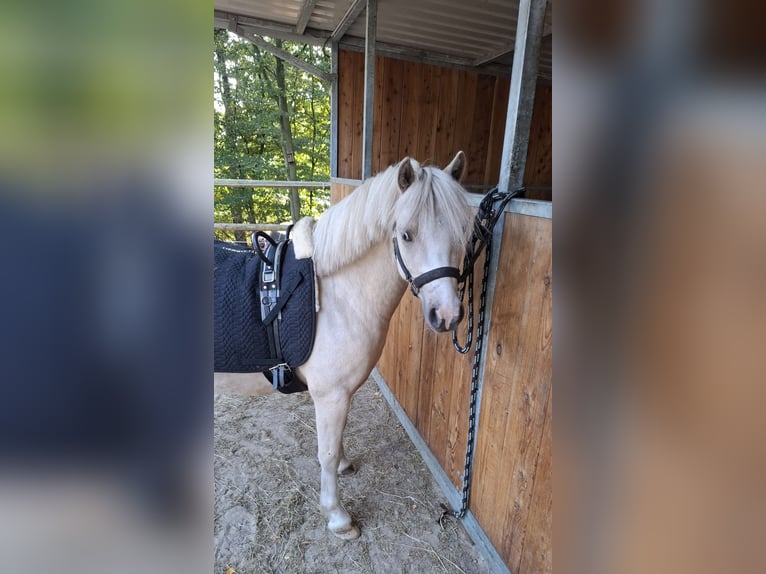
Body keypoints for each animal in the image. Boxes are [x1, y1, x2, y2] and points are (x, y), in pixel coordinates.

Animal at [223, 151, 471, 539]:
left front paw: (343, 464)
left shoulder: (341, 394)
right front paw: (338, 518)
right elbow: (324, 454)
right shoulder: (330, 394)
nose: (446, 315)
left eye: (462, 231)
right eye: (406, 234)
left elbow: (336, 442)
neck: (336, 296)